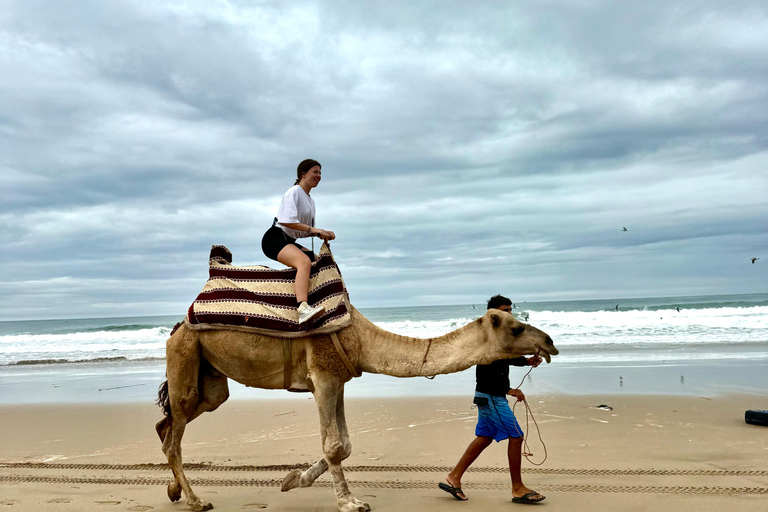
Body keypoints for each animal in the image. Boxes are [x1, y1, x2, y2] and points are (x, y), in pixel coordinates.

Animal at [156, 305, 558, 512]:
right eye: (516, 327)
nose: (550, 341)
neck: (362, 339)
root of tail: (176, 327)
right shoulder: (323, 377)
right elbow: (334, 445)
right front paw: (350, 503)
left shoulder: (339, 381)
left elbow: (346, 445)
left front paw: (292, 480)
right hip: (186, 358)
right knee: (174, 434)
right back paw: (196, 501)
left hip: (209, 380)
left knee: (169, 423)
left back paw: (175, 491)